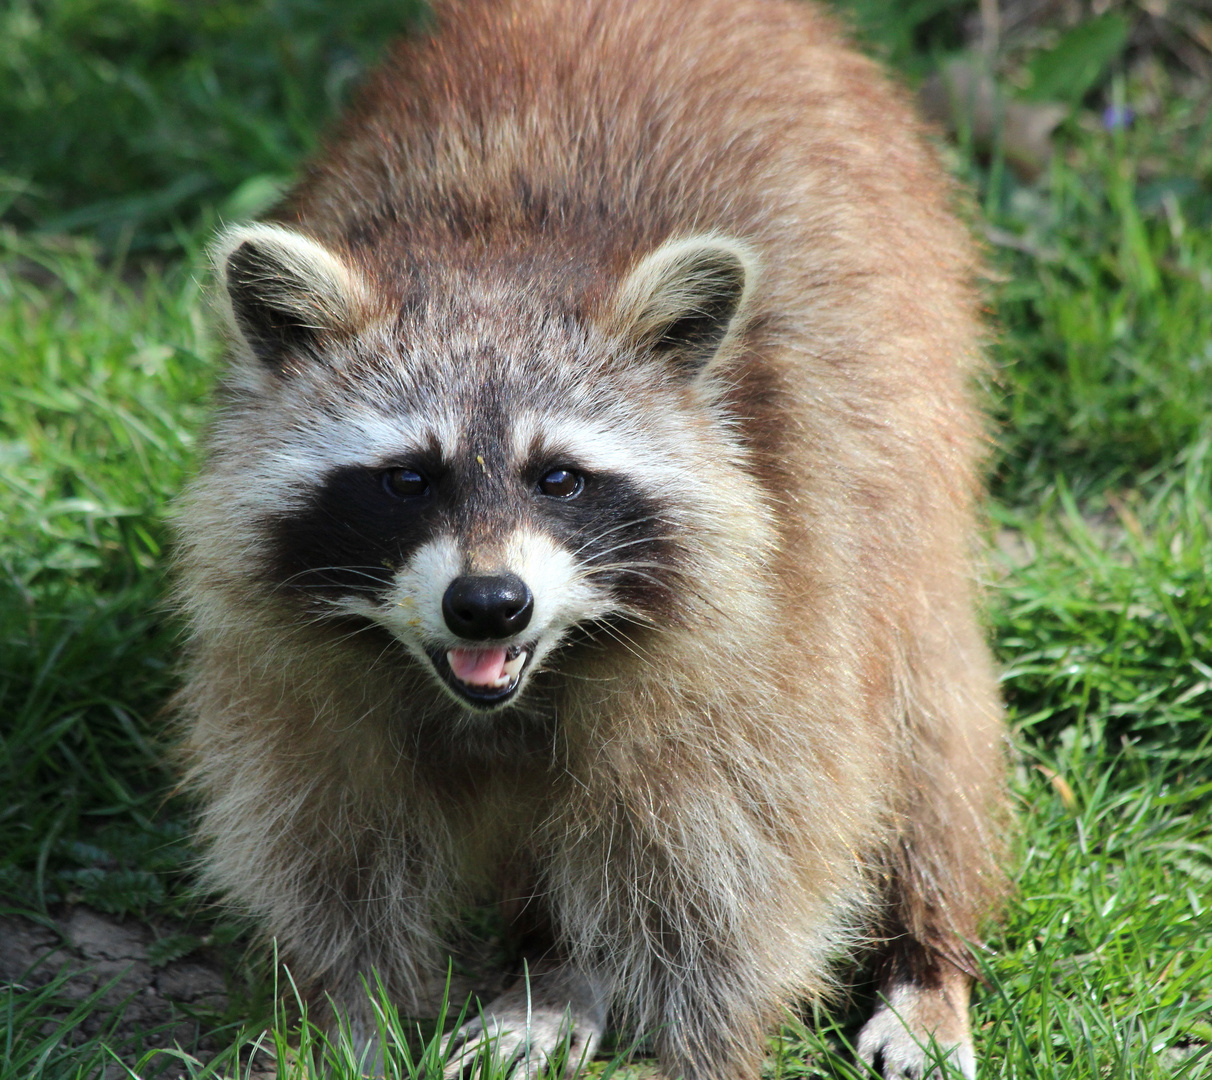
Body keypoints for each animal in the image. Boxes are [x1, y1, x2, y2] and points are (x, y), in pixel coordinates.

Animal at [176, 2, 1003, 1080]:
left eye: (558, 478)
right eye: (409, 479)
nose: (489, 605)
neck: (498, 255)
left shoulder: (782, 593)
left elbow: (741, 857)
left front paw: (710, 1046)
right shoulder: (300, 670)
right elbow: (329, 835)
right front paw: (349, 1019)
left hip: (907, 468)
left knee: (928, 732)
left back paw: (926, 954)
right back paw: (557, 971)